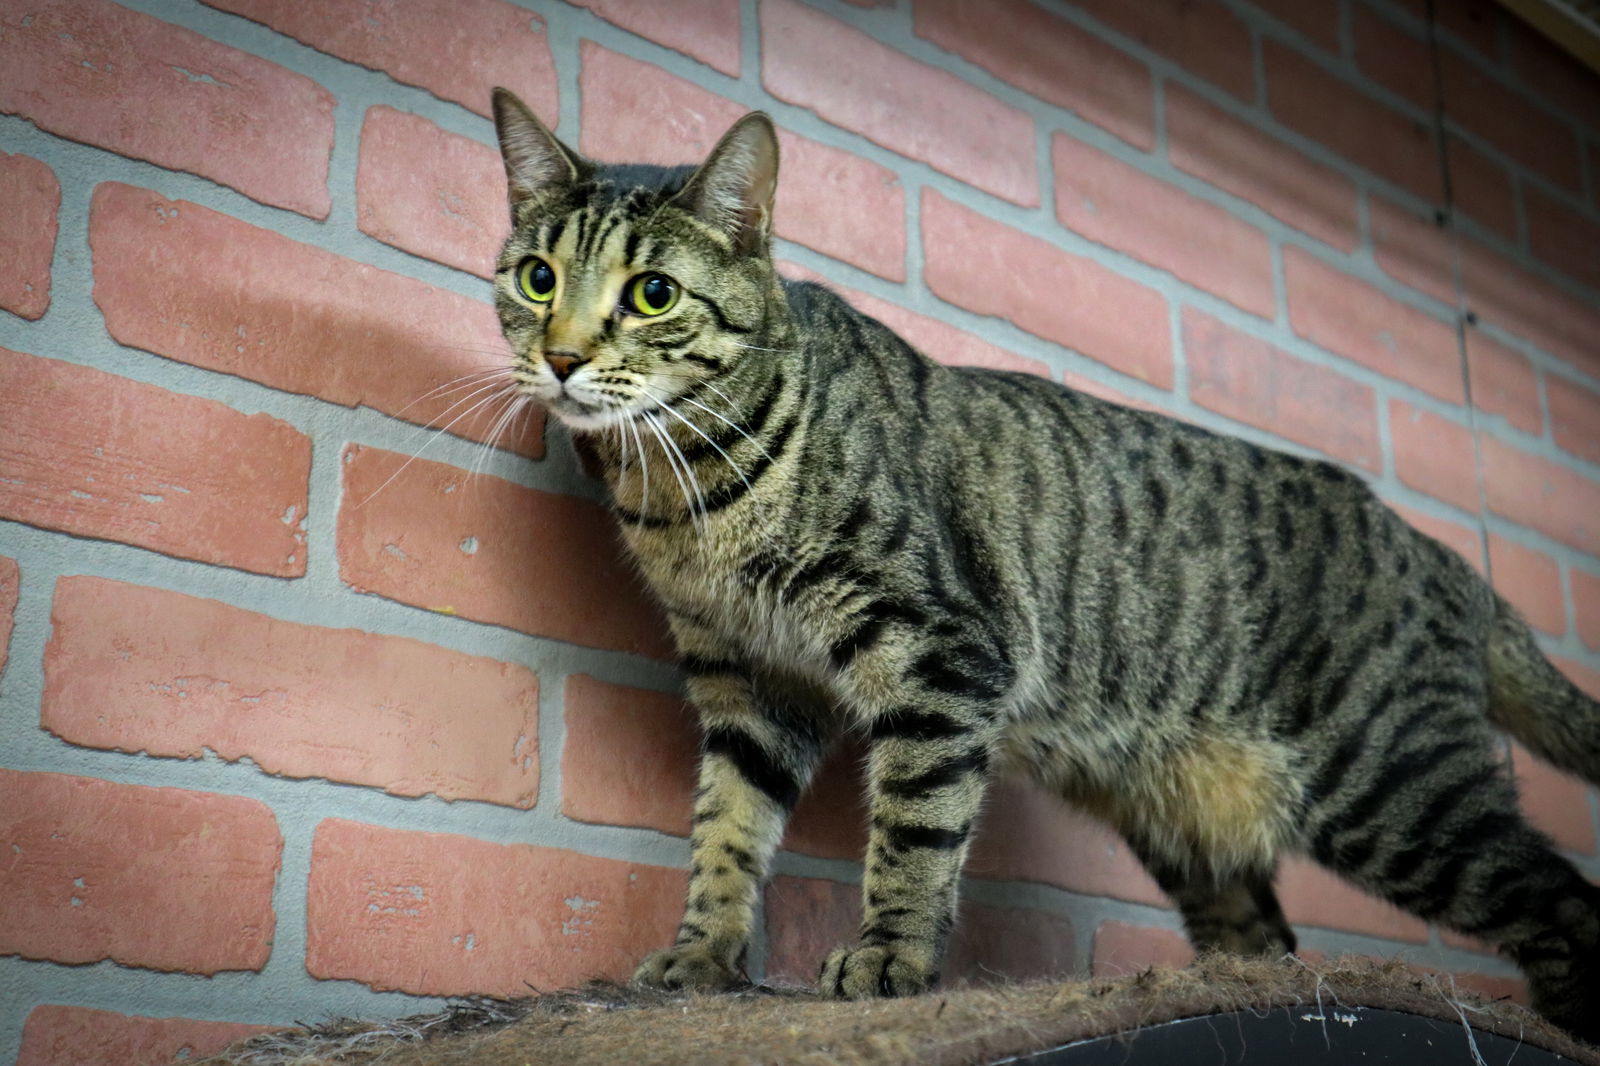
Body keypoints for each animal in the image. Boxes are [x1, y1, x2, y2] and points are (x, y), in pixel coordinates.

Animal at [486, 91, 1600, 1037]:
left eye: (652, 294)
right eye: (537, 278)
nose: (561, 357)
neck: (687, 499)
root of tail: (1452, 563)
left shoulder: (940, 658)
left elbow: (913, 830)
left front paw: (887, 958)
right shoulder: (747, 685)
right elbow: (723, 832)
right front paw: (699, 960)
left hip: (1393, 790)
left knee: (1562, 897)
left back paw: (1562, 1019)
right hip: (1195, 818)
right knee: (1270, 938)